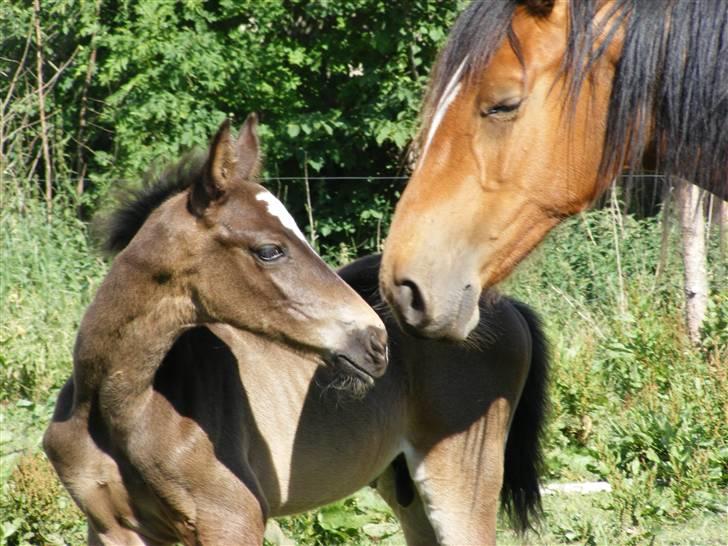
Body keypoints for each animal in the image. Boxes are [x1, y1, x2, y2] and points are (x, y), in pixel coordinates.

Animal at [44, 117, 544, 540]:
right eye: (270, 250)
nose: (375, 342)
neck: (120, 406)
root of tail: (500, 305)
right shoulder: (112, 528)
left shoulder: (232, 519)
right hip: (406, 491)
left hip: (460, 478)